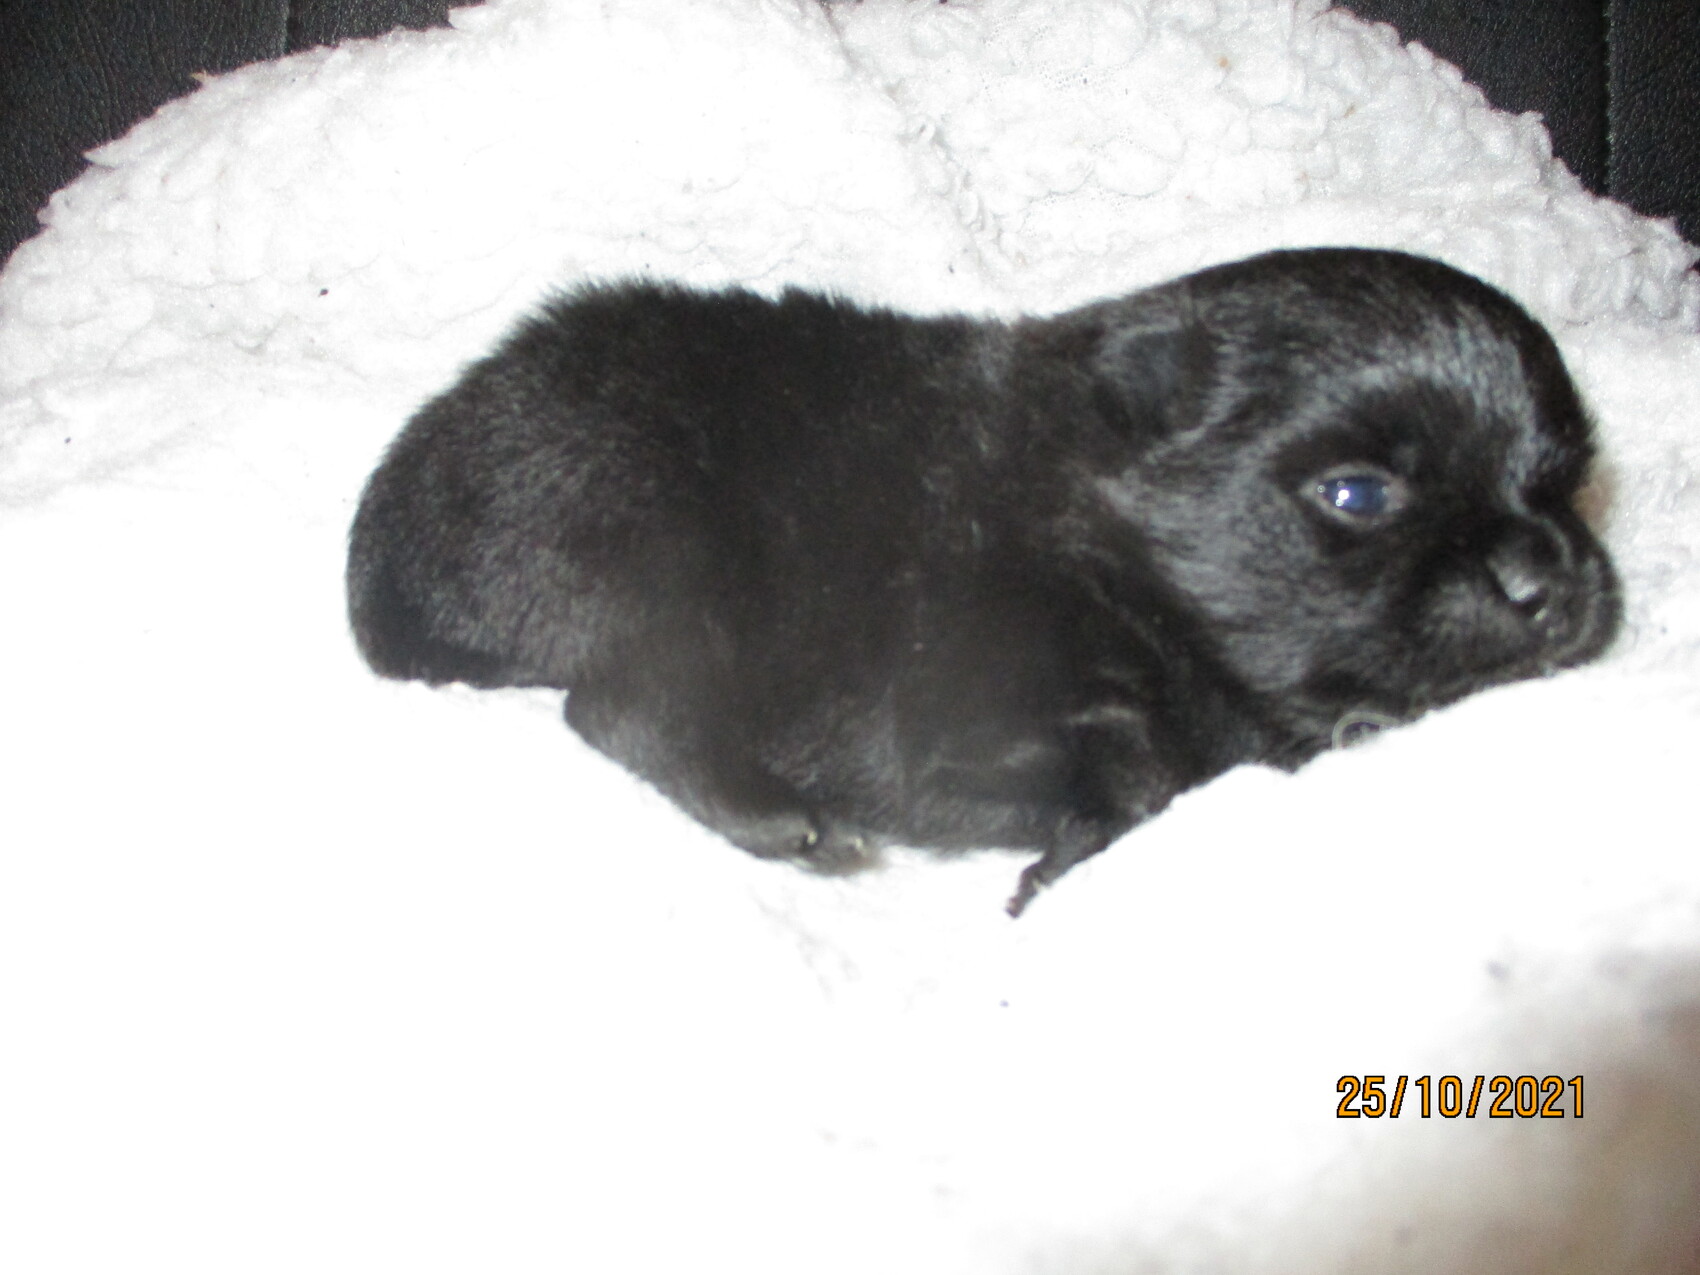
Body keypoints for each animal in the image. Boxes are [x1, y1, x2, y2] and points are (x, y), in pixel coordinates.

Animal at [347, 248, 1622, 914]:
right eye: (1357, 495)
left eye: (1563, 483)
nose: (1547, 576)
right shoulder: (959, 693)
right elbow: (1141, 767)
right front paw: (1060, 861)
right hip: (657, 555)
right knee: (619, 708)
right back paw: (788, 822)